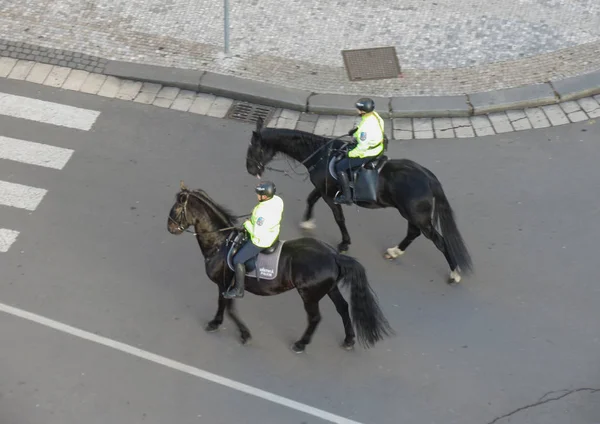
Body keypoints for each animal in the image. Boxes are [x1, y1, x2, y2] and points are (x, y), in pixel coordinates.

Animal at [166, 181, 396, 352]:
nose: (170, 227)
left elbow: (228, 307)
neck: (221, 243)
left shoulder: (226, 284)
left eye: (177, 208)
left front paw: (239, 332)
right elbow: (225, 306)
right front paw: (220, 324)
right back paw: (348, 340)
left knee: (315, 318)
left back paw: (301, 344)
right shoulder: (225, 285)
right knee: (343, 308)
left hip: (309, 295)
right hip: (330, 289)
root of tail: (333, 255)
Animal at [244, 119, 474, 284]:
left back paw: (454, 273)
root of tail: (428, 177)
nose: (250, 169)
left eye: (254, 149)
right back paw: (394, 251)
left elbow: (339, 218)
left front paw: (344, 243)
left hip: (417, 215)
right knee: (413, 233)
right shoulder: (323, 189)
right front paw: (307, 222)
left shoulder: (329, 195)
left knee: (438, 241)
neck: (322, 155)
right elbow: (310, 199)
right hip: (412, 214)